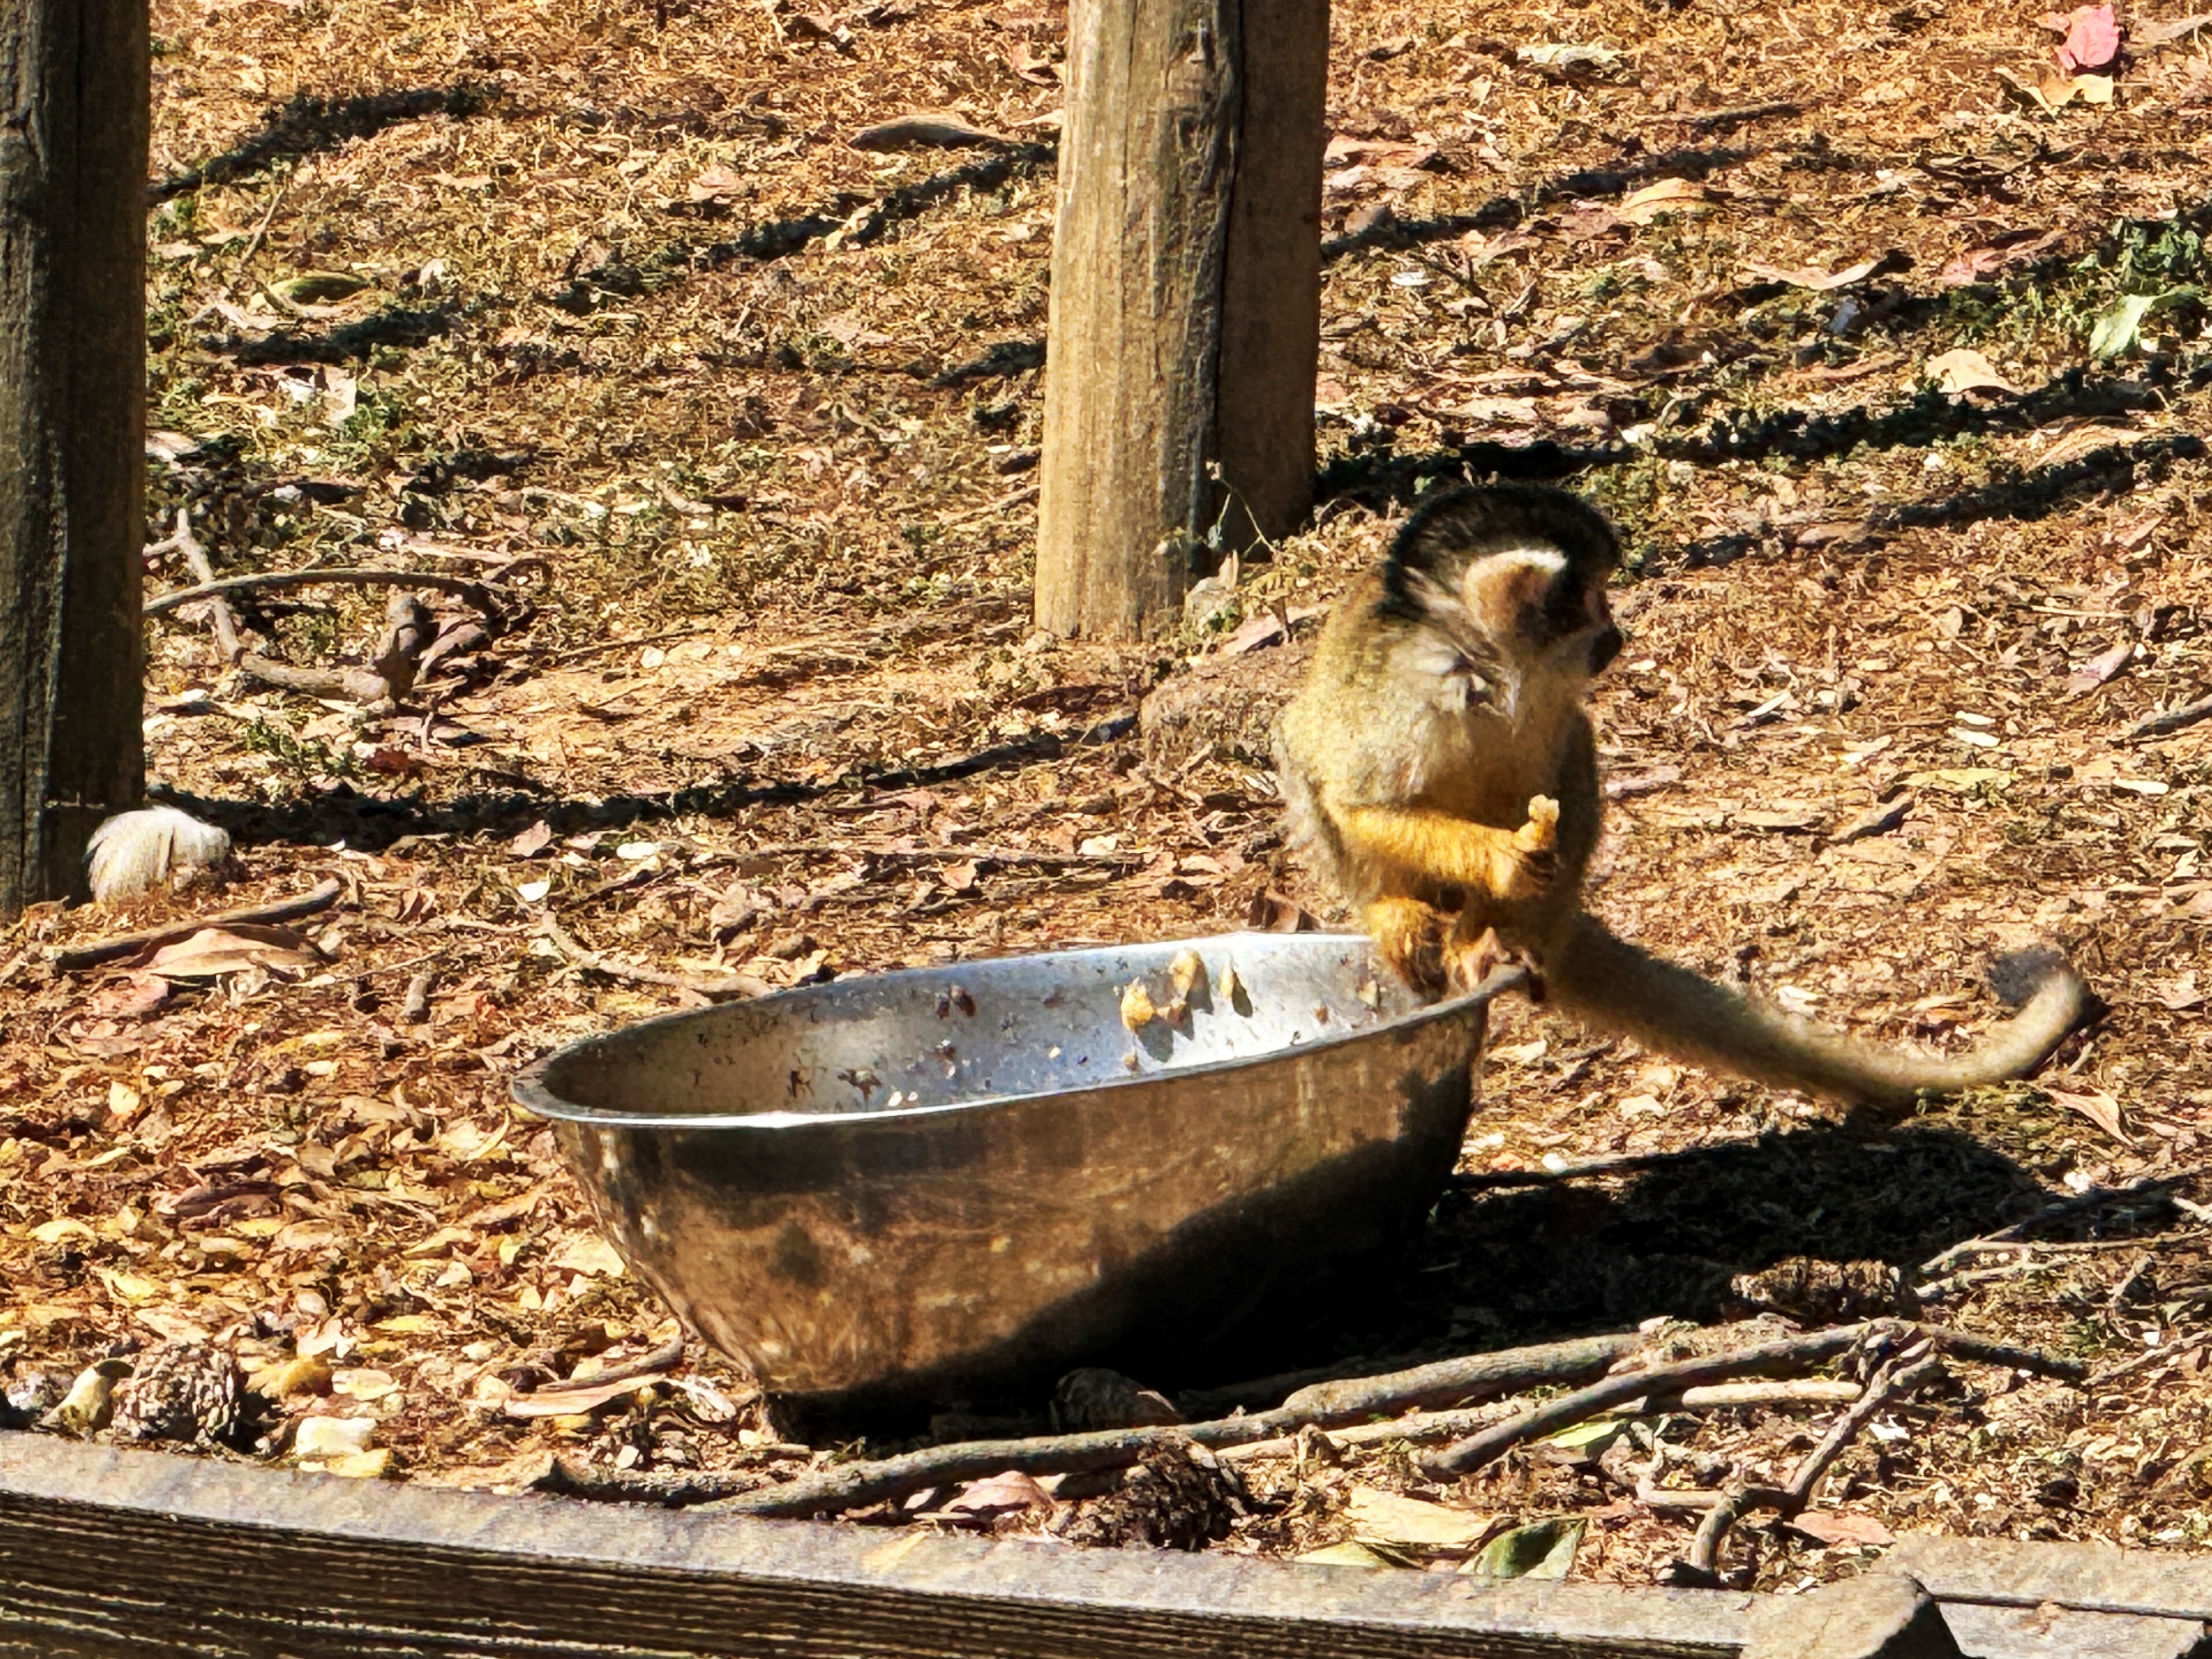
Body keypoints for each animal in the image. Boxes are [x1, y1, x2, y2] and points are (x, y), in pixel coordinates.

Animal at [1271, 482, 2090, 1111]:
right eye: (1589, 599)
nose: (1616, 634)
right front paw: (1499, 864)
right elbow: (1361, 803)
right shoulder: (1404, 691)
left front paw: (1496, 915)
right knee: (1304, 755)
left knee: (1572, 760)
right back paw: (1400, 911)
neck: (1481, 665)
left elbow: (1557, 777)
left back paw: (1511, 934)